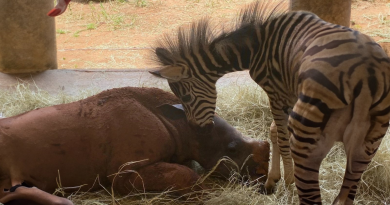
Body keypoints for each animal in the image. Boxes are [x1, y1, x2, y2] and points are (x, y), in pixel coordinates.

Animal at [151, 0, 390, 204]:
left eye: (186, 97)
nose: (196, 130)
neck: (256, 44)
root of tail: (364, 72)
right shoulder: (289, 93)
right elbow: (275, 130)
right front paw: (273, 179)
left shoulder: (275, 91)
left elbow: (282, 137)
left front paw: (287, 181)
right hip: (371, 139)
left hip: (307, 127)